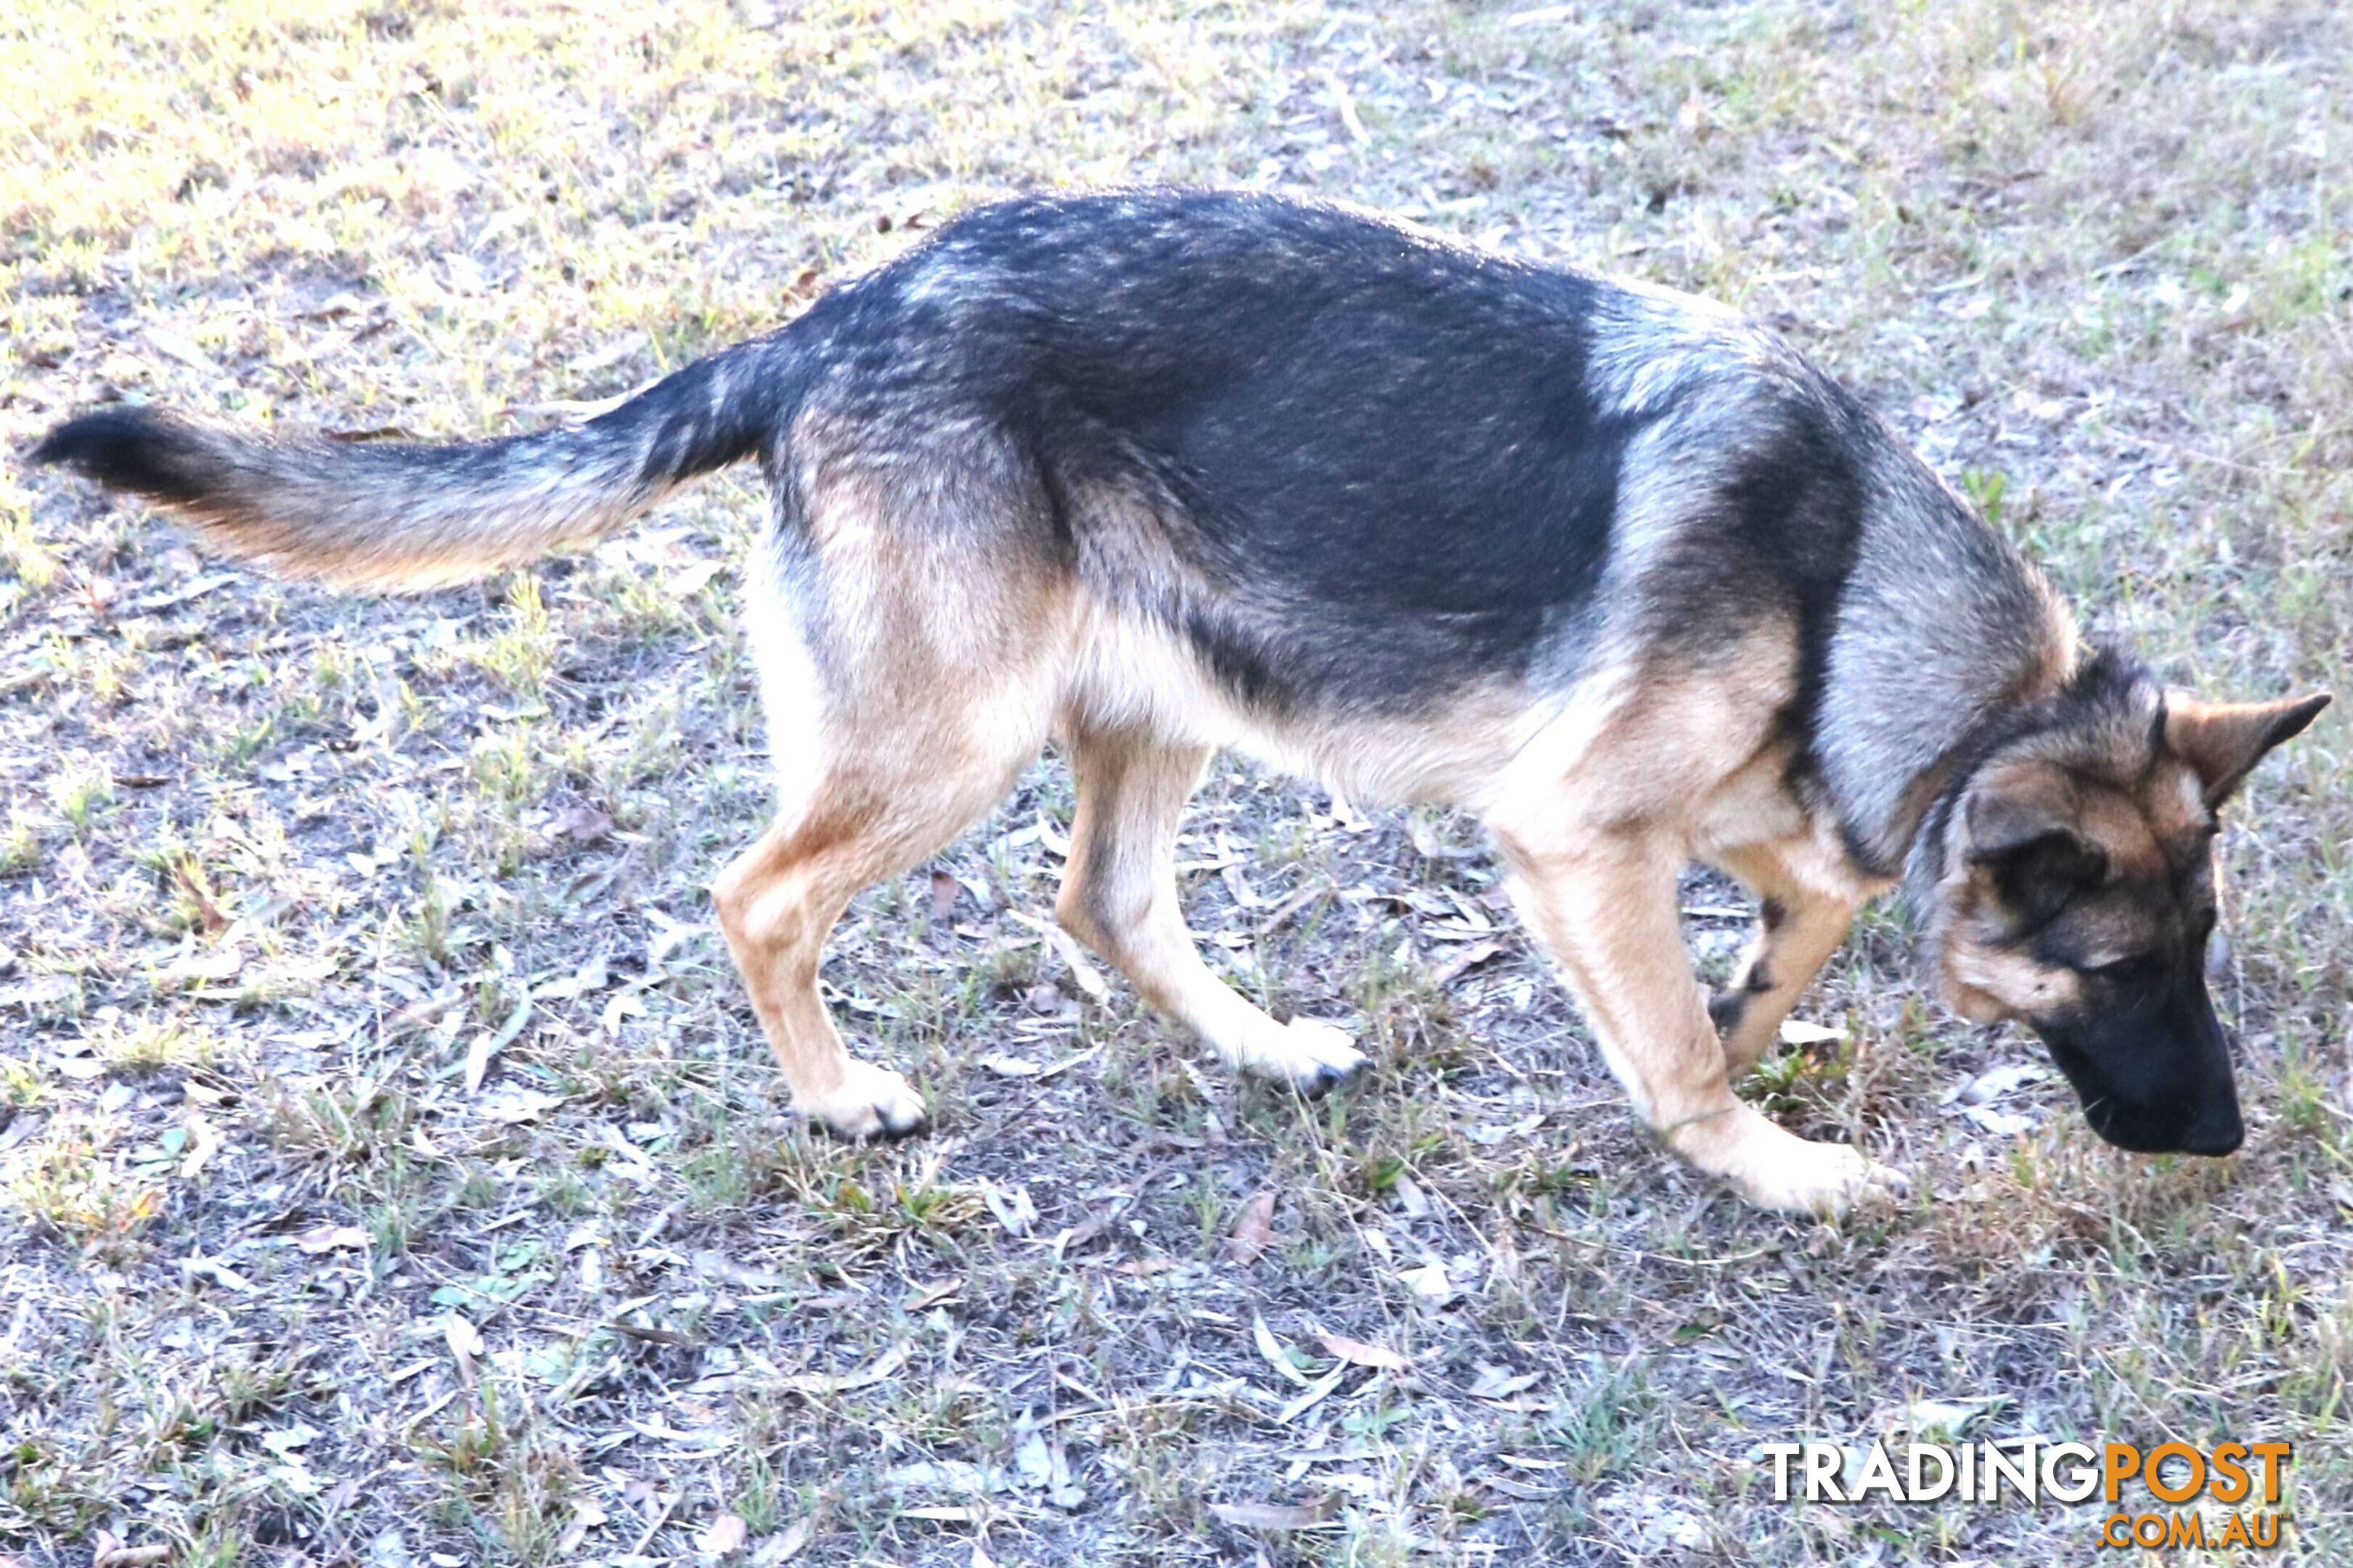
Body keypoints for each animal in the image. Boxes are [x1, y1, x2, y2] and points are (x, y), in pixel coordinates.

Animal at [28, 192, 2325, 1205]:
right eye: (2119, 971)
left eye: (2195, 953)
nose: (2224, 1140)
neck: (1847, 582)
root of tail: (822, 323)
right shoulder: (1572, 825)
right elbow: (1681, 1031)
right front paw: (1757, 1148)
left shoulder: (1743, 804)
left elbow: (1807, 907)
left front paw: (1761, 1010)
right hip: (946, 744)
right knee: (760, 897)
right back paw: (838, 1096)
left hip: (1159, 705)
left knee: (1103, 908)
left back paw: (1264, 1047)